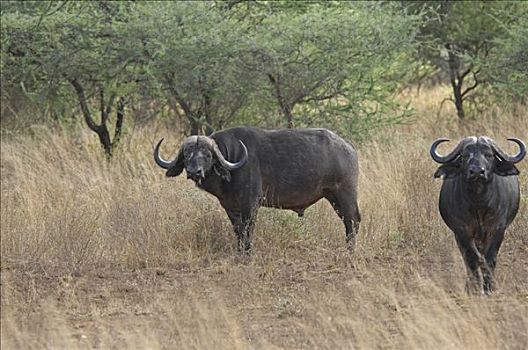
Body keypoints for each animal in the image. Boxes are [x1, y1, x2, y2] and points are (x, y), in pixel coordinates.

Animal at [153, 127, 358, 253]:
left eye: (207, 154)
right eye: (187, 154)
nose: (194, 171)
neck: (232, 161)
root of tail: (348, 147)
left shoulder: (250, 206)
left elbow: (247, 231)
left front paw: (247, 253)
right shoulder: (230, 208)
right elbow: (238, 231)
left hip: (345, 194)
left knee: (353, 221)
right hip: (333, 197)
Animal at [432, 135, 524, 294]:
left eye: (489, 155)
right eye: (465, 155)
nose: (476, 172)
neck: (478, 204)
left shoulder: (497, 229)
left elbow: (489, 258)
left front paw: (489, 288)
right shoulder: (461, 231)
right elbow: (472, 259)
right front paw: (474, 288)